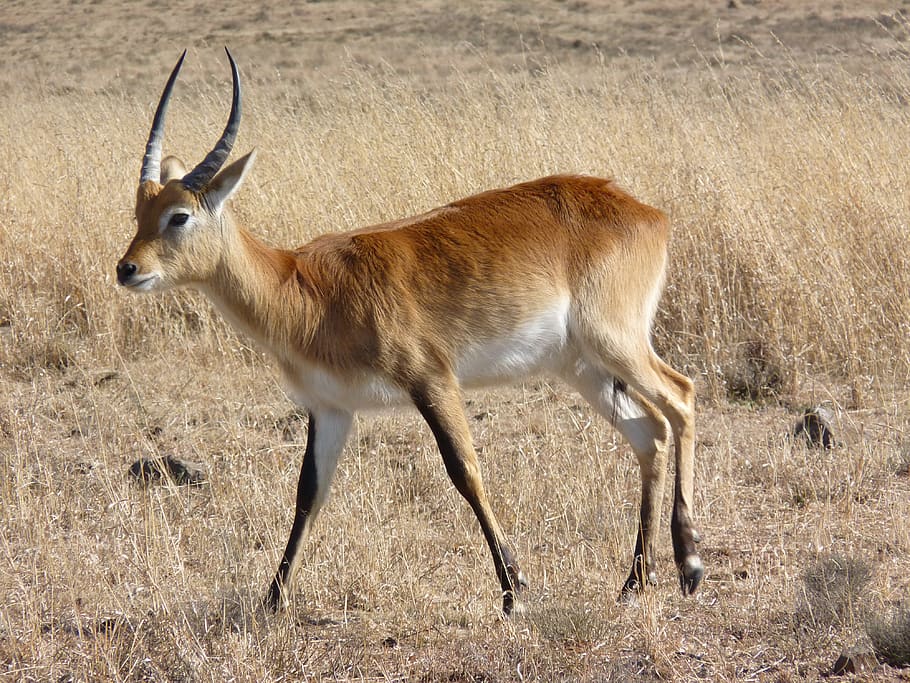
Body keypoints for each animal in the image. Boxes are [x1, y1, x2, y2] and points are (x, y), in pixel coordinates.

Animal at [117, 48, 704, 616]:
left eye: (179, 215)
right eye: (139, 210)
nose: (127, 269)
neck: (305, 288)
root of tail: (647, 211)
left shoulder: (432, 379)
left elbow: (464, 470)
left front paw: (513, 590)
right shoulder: (330, 407)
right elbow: (309, 491)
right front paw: (273, 600)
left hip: (616, 342)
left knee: (681, 396)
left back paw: (690, 566)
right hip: (581, 365)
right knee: (649, 431)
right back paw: (635, 582)